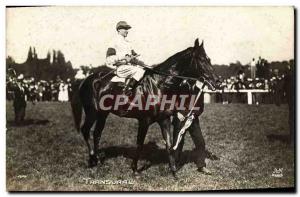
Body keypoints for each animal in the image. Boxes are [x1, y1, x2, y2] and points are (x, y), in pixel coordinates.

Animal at [71, 38, 220, 177]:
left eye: (209, 59)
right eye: (201, 59)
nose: (217, 80)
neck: (158, 85)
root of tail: (87, 79)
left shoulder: (164, 119)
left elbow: (169, 144)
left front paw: (173, 172)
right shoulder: (144, 120)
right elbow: (140, 144)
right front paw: (135, 169)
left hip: (103, 114)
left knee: (97, 133)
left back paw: (98, 160)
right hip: (92, 112)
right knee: (86, 130)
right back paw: (92, 159)